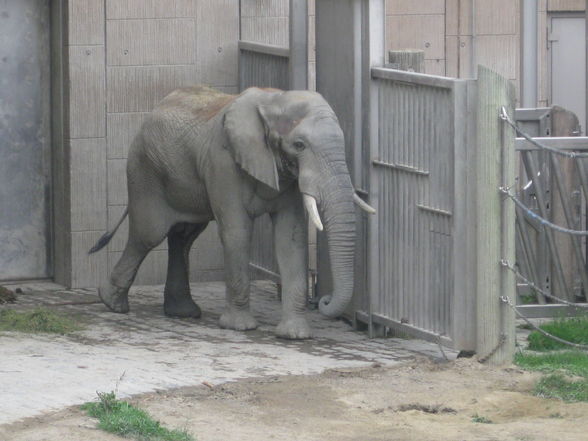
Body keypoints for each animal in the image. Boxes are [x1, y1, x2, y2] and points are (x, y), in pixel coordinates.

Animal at [90, 87, 376, 340]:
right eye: (299, 145)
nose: (324, 300)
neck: (275, 100)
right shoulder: (223, 163)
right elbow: (237, 233)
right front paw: (239, 327)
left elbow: (290, 238)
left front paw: (295, 334)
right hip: (145, 171)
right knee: (148, 235)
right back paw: (112, 303)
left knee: (184, 236)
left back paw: (182, 312)